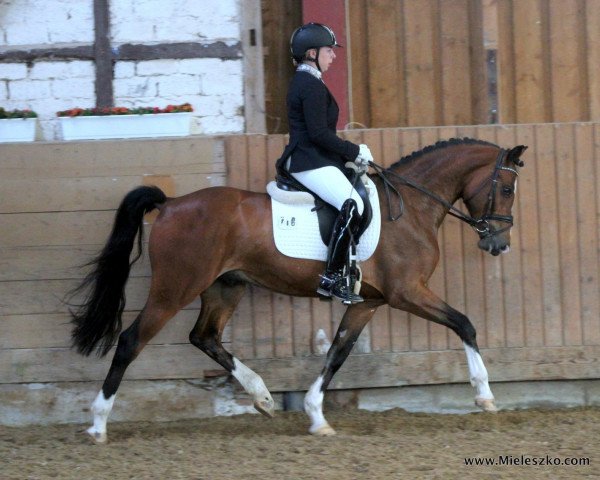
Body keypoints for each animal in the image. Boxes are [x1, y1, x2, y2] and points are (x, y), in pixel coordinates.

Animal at [70, 137, 528, 440]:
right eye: (506, 189)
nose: (499, 244)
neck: (411, 209)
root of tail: (170, 205)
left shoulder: (369, 302)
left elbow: (338, 353)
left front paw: (316, 417)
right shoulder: (407, 293)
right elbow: (465, 324)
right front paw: (485, 395)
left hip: (225, 287)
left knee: (205, 337)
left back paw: (261, 397)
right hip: (175, 288)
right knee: (131, 341)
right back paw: (97, 424)